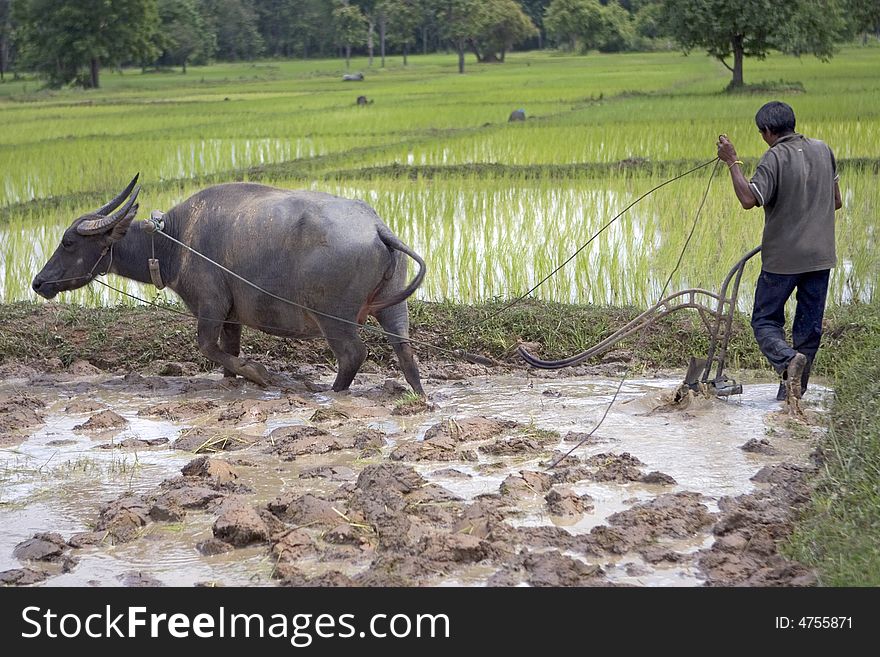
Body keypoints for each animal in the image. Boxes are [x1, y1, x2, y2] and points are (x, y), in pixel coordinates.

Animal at [34, 174, 430, 398]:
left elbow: (207, 347)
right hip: (392, 308)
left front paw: (260, 374)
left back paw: (332, 393)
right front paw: (235, 378)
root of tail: (377, 226)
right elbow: (228, 353)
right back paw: (419, 395)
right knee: (405, 349)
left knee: (353, 354)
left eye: (68, 242)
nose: (39, 282)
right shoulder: (231, 316)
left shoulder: (210, 305)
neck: (175, 242)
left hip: (334, 318)